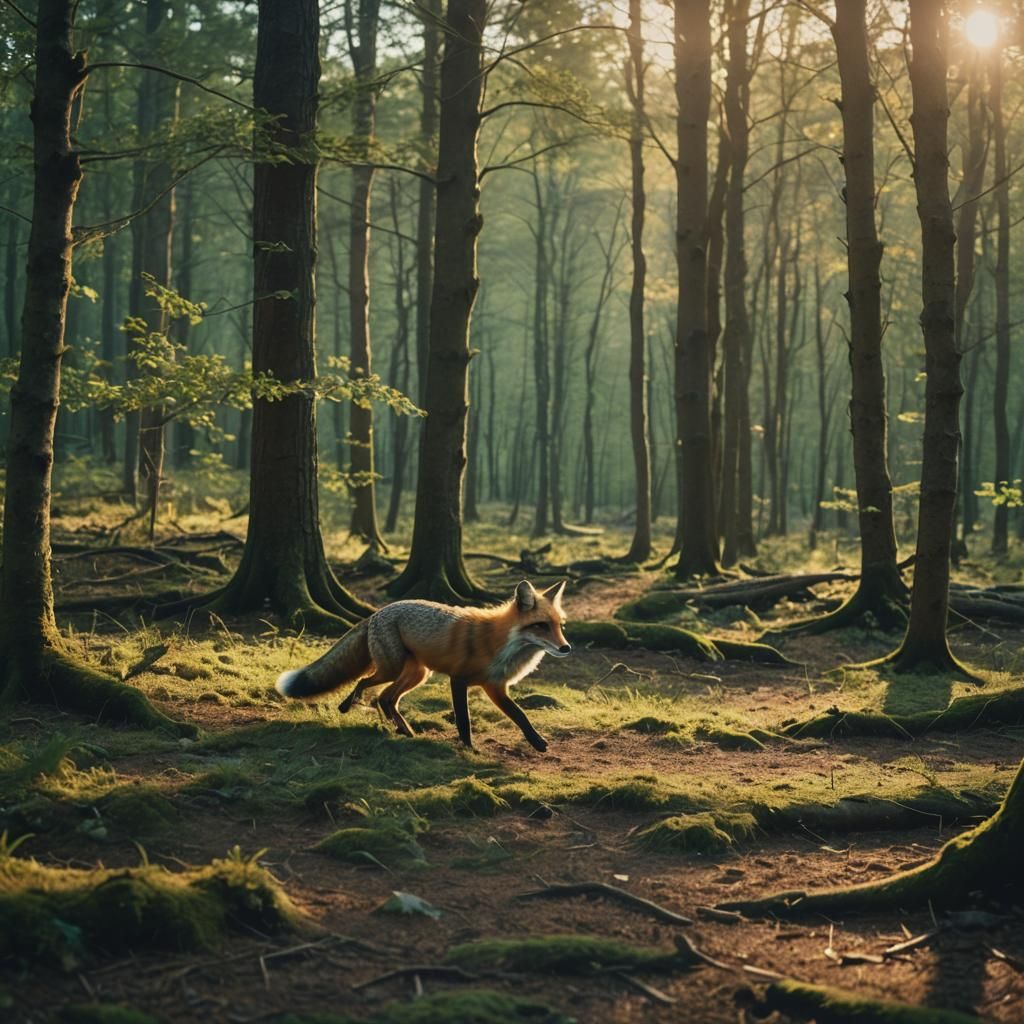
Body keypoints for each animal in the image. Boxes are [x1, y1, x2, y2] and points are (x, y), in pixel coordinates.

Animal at [275, 580, 571, 752]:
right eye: (541, 626)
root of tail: (376, 612)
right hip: (394, 669)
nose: (566, 648)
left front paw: (537, 742)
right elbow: (464, 720)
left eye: (560, 626)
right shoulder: (458, 679)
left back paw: (405, 731)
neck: (500, 643)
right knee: (365, 683)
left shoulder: (495, 687)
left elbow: (520, 715)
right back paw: (348, 705)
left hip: (417, 674)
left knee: (386, 698)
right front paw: (468, 749)